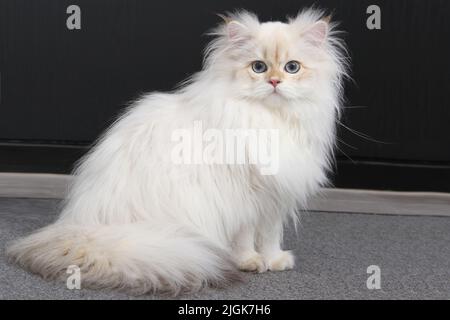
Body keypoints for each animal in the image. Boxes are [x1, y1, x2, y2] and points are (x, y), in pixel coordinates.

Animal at [6, 8, 348, 296]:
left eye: (292, 68)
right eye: (258, 67)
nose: (275, 81)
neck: (269, 120)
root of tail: (81, 227)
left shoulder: (275, 197)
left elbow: (271, 235)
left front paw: (275, 260)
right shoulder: (246, 196)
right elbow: (246, 237)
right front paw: (250, 261)